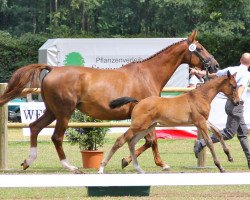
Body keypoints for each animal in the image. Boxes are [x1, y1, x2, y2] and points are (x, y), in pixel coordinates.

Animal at [0, 30, 219, 173]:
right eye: (199, 48)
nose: (215, 66)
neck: (148, 74)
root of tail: (52, 69)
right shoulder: (147, 116)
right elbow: (151, 141)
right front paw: (157, 163)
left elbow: (147, 141)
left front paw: (126, 160)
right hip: (63, 114)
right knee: (56, 137)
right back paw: (70, 166)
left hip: (52, 112)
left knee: (35, 127)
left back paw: (28, 161)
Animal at [98, 71, 239, 173]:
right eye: (233, 86)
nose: (238, 102)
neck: (201, 97)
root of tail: (138, 102)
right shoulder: (200, 122)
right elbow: (209, 142)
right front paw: (220, 166)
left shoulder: (204, 121)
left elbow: (219, 133)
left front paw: (230, 157)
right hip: (138, 126)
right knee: (120, 140)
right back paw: (101, 168)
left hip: (147, 127)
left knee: (131, 142)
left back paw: (138, 168)